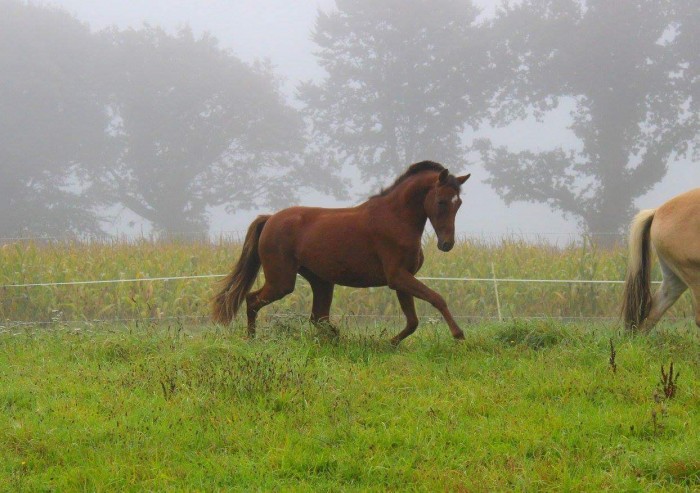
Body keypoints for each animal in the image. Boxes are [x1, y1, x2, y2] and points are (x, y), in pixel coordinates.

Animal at [211, 161, 468, 342]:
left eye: (459, 203)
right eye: (442, 201)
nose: (446, 244)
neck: (396, 218)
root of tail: (270, 218)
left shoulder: (403, 278)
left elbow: (412, 321)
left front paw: (389, 342)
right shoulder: (398, 277)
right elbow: (437, 298)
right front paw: (459, 335)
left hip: (321, 281)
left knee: (318, 318)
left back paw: (336, 338)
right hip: (281, 281)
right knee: (253, 300)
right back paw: (252, 339)